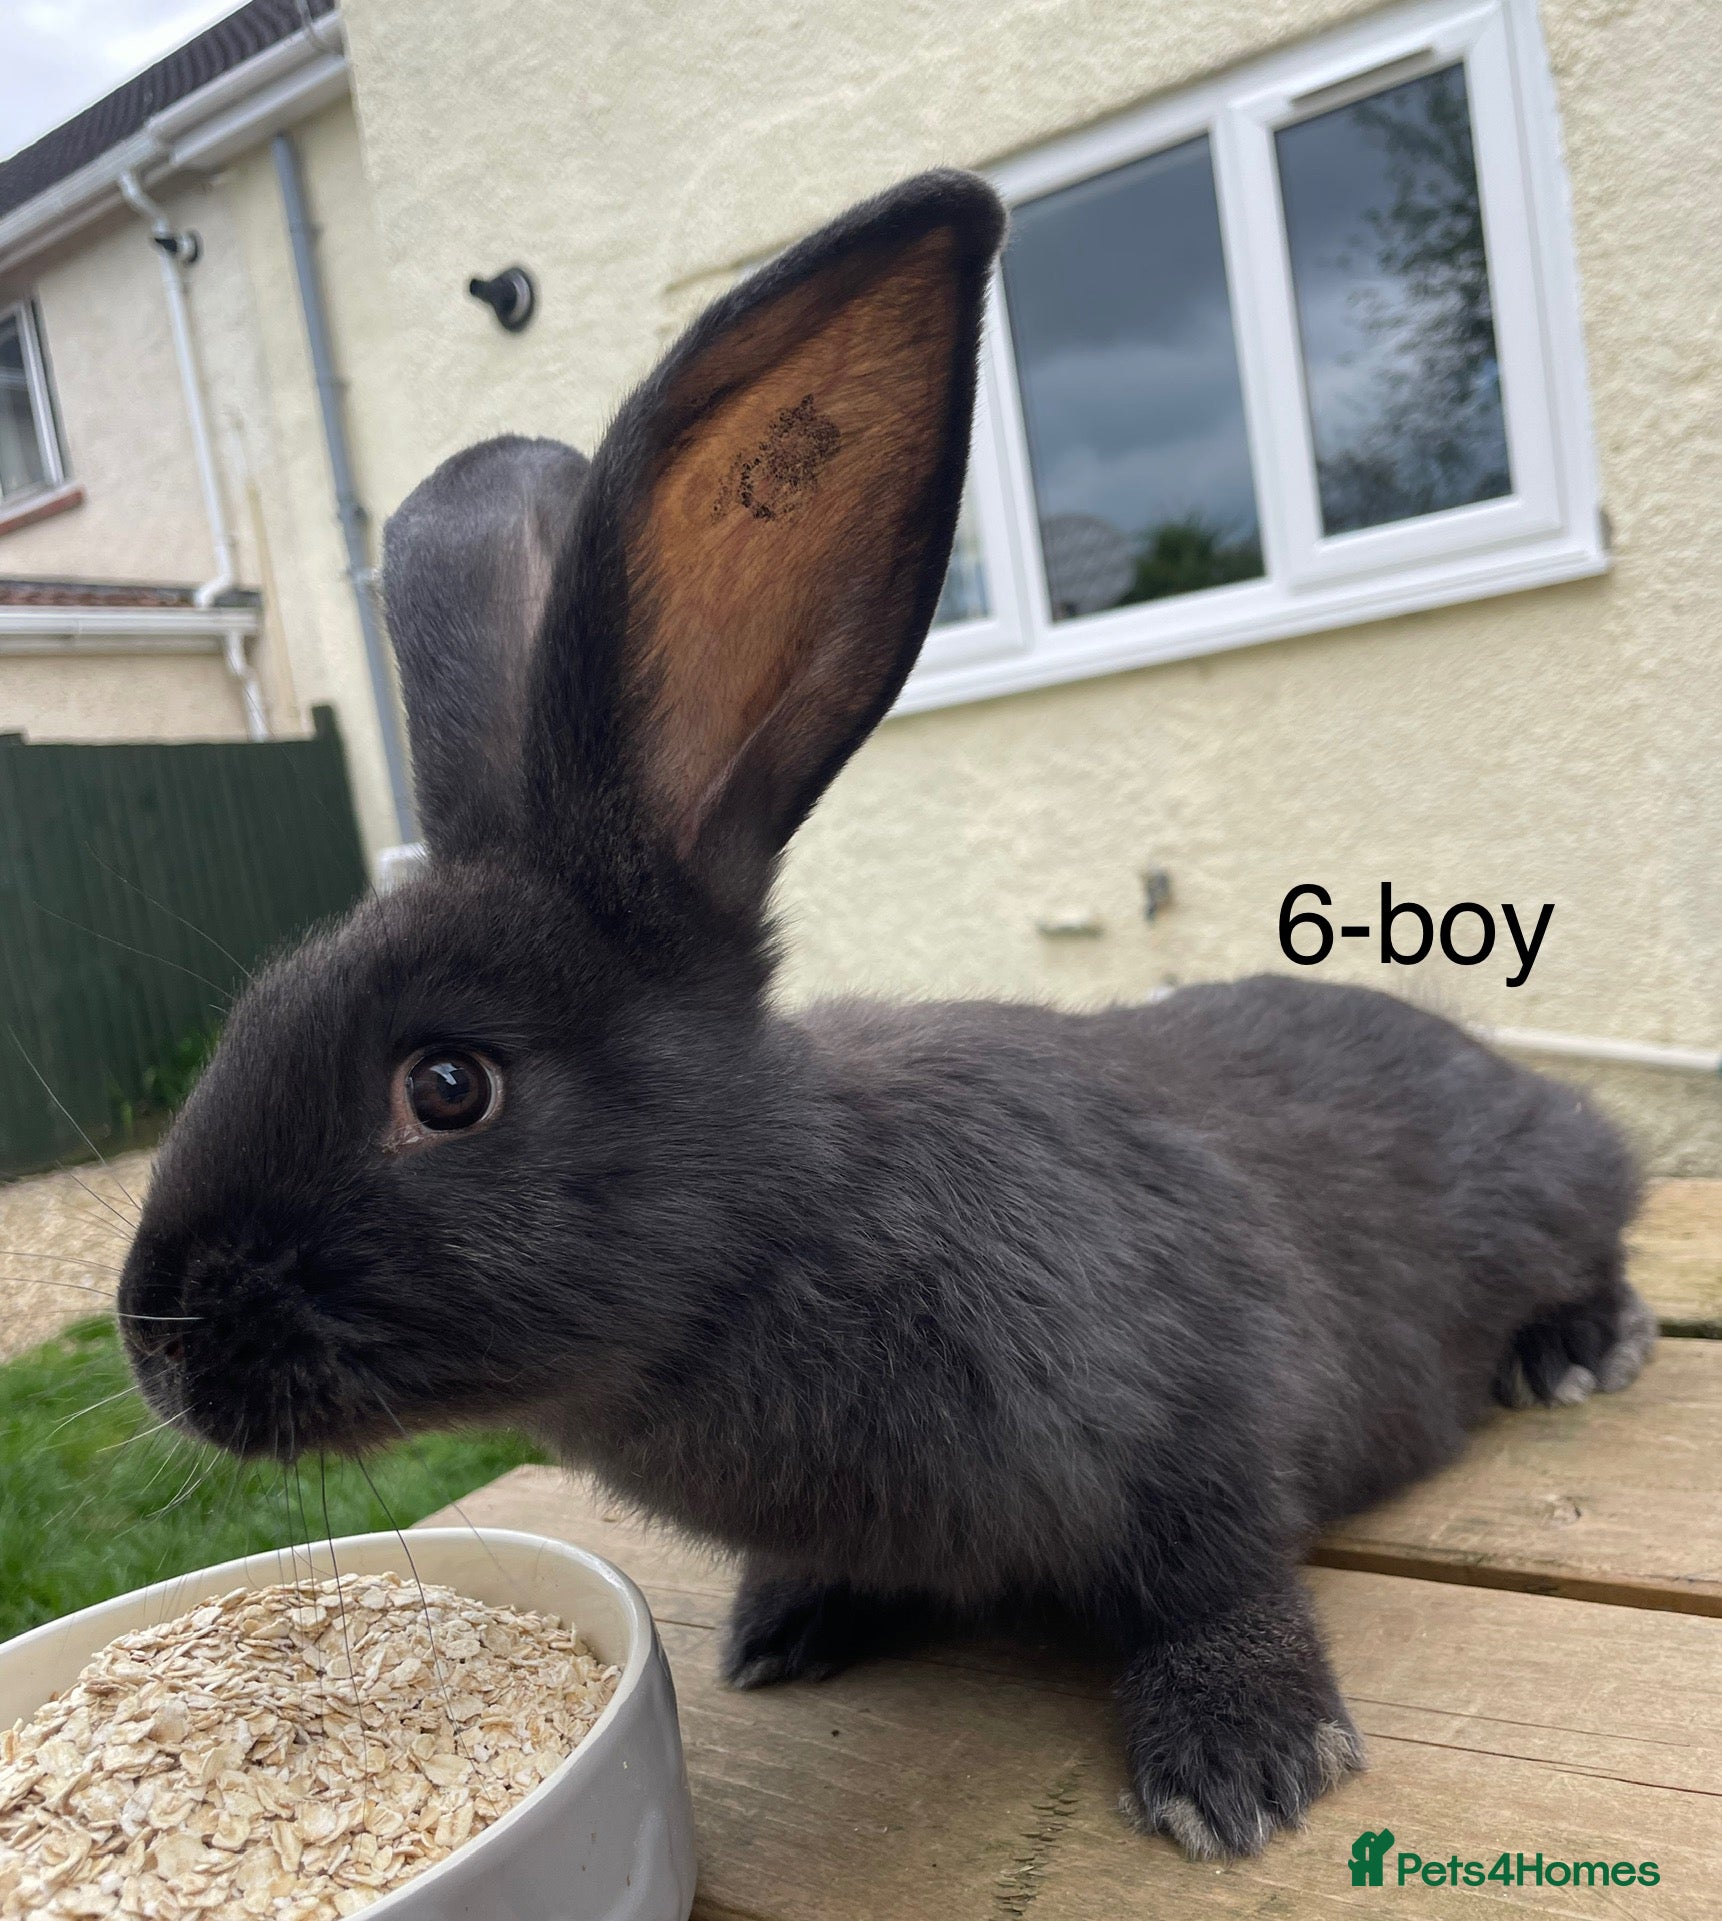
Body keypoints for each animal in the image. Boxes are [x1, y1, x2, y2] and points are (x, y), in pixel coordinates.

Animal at [116, 168, 1654, 1861]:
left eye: (447, 1085)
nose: (155, 1344)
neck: (784, 1226)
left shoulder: (1207, 1407)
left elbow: (1218, 1574)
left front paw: (1235, 1764)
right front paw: (782, 1624)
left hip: (1545, 1193)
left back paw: (1577, 1348)